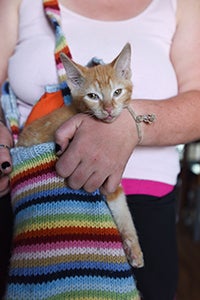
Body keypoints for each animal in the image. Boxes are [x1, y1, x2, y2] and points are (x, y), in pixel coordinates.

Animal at [17, 43, 144, 268]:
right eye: (93, 96)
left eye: (117, 92)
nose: (109, 109)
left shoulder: (109, 178)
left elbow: (120, 205)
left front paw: (133, 248)